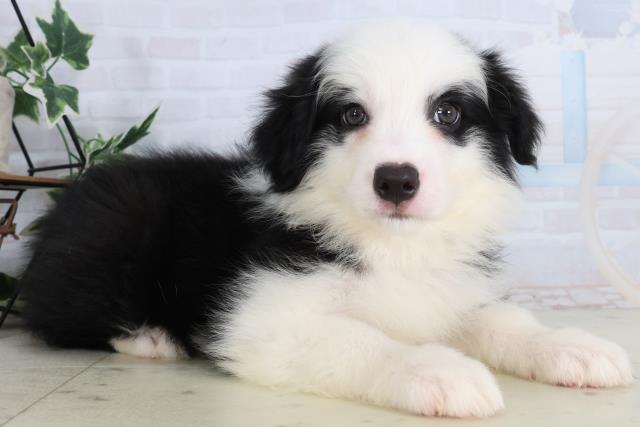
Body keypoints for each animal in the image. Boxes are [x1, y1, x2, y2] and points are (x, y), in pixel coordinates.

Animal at [20, 22, 632, 417]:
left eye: (448, 113)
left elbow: (507, 322)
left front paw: (575, 348)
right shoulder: (263, 317)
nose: (396, 181)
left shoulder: (453, 291)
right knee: (59, 315)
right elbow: (362, 340)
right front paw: (441, 371)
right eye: (351, 115)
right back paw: (150, 338)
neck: (395, 247)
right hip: (111, 232)